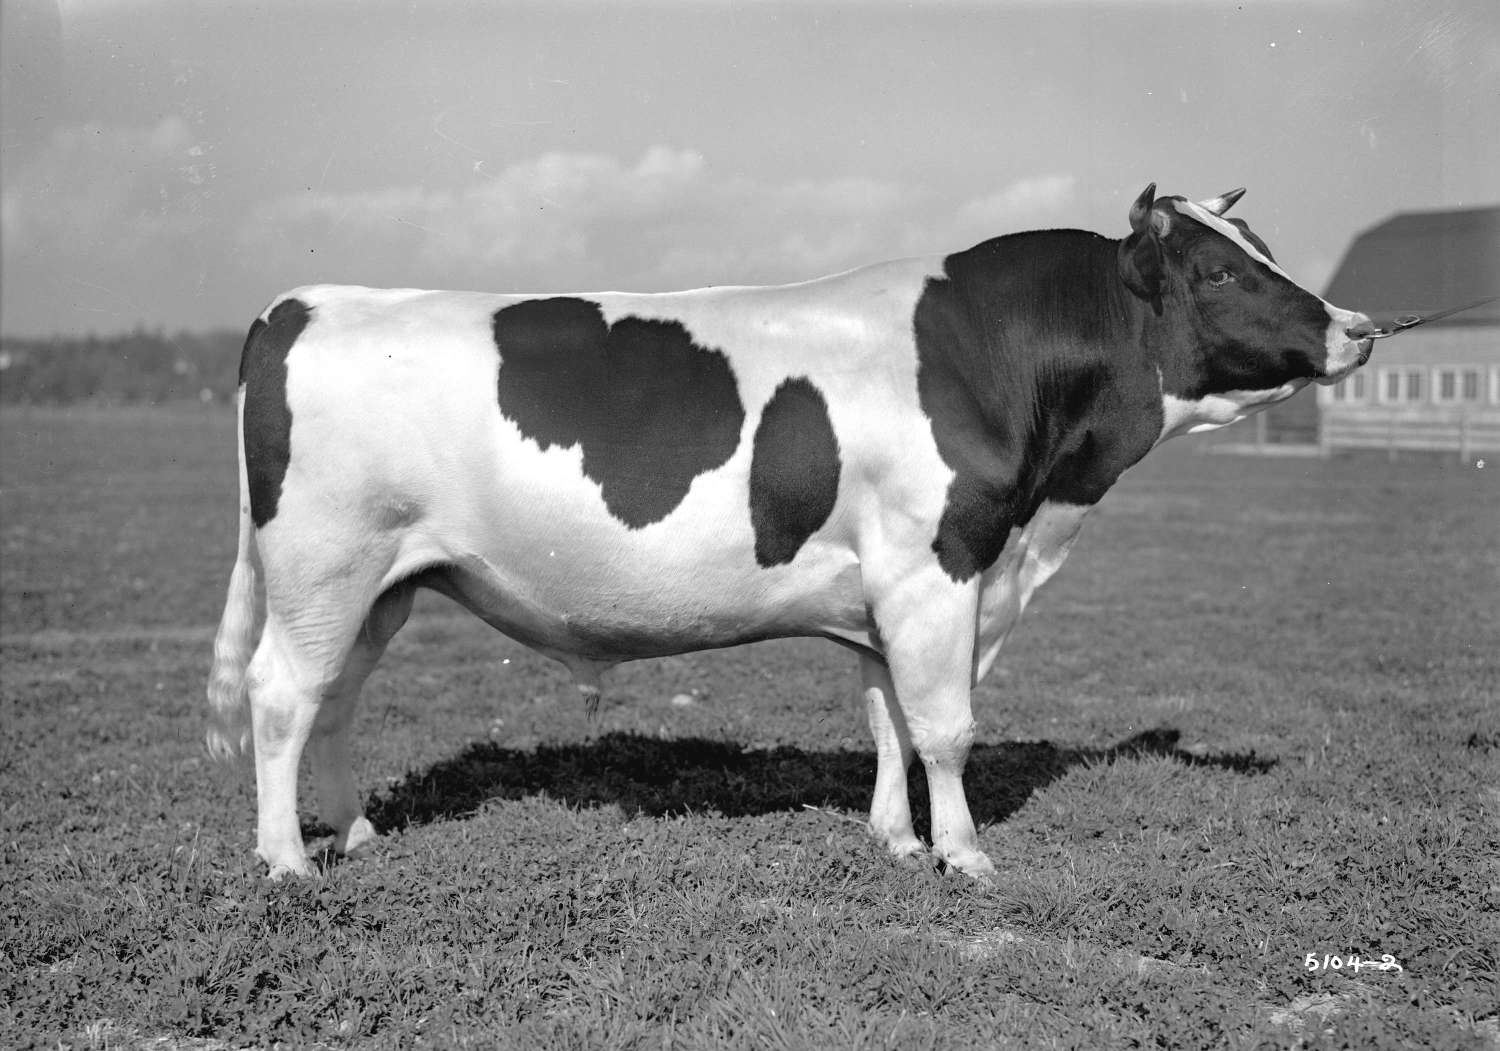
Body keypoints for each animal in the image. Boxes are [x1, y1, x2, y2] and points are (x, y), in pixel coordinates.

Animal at [205, 186, 1374, 875]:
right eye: (1220, 271)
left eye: (1259, 247)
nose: (1357, 327)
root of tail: (295, 305)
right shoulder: (938, 565)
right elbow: (945, 726)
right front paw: (963, 855)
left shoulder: (884, 587)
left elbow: (888, 718)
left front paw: (894, 839)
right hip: (324, 564)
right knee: (281, 695)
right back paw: (288, 864)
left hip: (384, 582)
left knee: (337, 698)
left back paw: (356, 831)